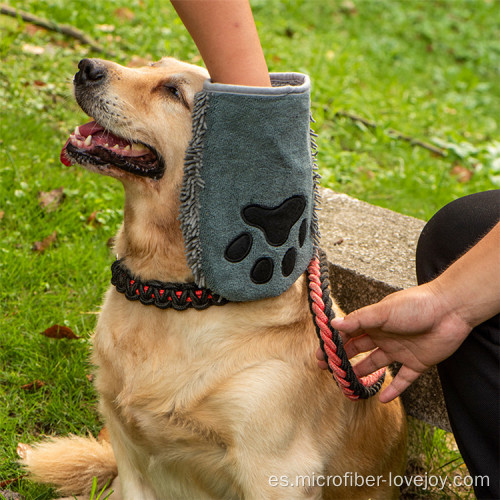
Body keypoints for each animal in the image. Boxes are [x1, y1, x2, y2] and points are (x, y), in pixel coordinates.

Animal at [21, 58, 408, 500]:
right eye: (150, 64)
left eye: (173, 92)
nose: (86, 67)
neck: (177, 294)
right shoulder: (128, 449)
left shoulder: (278, 471)